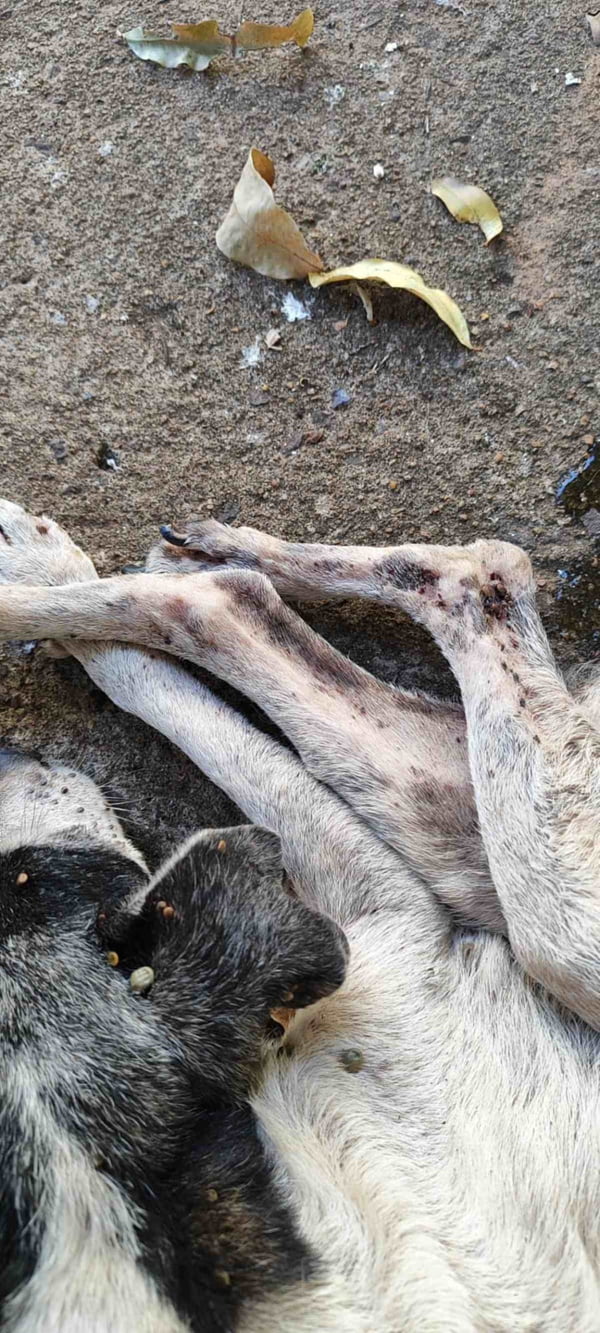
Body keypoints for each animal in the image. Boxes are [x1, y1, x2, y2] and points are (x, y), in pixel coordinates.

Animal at [0, 501, 600, 1333]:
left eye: (38, 885)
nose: (8, 762)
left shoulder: (384, 922)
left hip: (557, 913)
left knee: (247, 602)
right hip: (499, 859)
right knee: (459, 581)